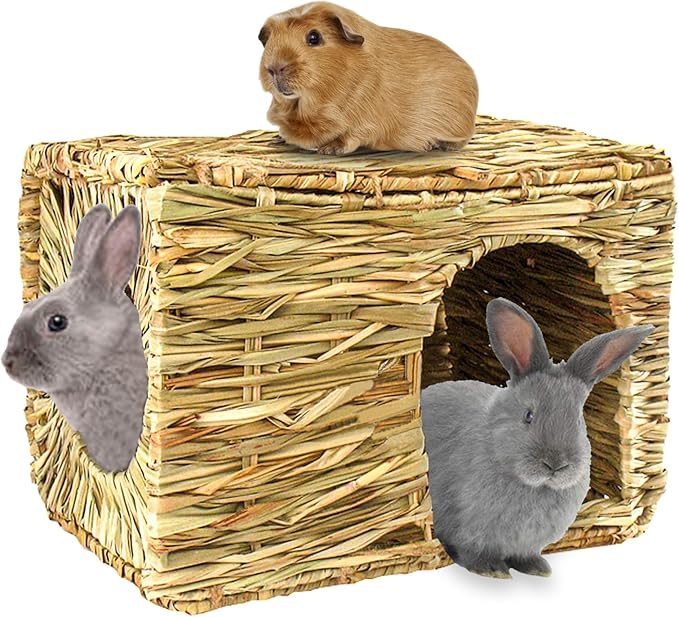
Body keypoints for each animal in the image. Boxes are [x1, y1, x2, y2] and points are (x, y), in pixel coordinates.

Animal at [258, 2, 478, 154]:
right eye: (270, 40)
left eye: (314, 37)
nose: (274, 68)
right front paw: (278, 139)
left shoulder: (365, 124)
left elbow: (350, 137)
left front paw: (329, 149)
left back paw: (437, 145)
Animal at [421, 297, 654, 578]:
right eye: (528, 416)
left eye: (578, 419)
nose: (555, 465)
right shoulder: (467, 528)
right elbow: (472, 552)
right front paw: (492, 570)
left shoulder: (526, 543)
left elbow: (525, 555)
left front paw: (538, 569)